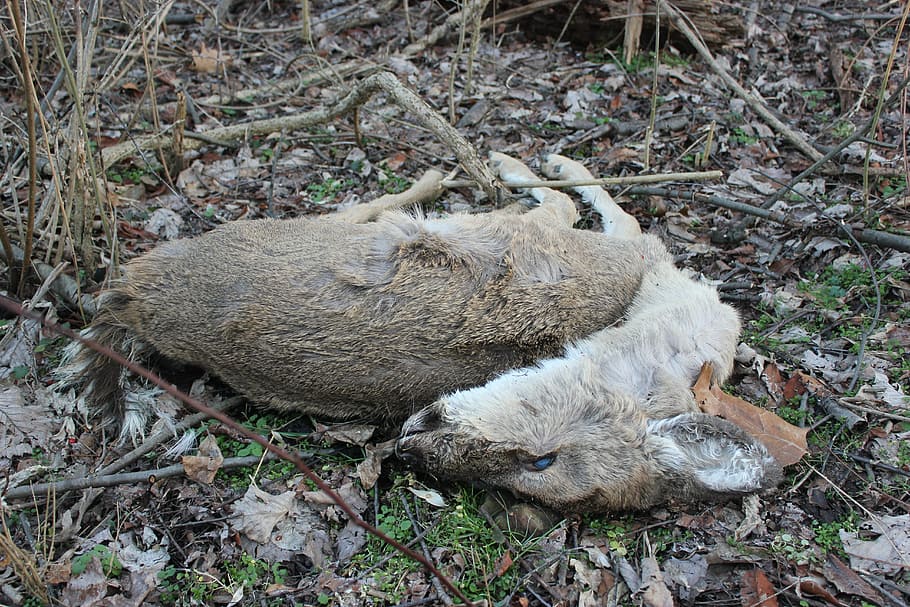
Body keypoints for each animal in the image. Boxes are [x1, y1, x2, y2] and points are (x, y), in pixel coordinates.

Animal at [58, 152, 780, 512]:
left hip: (293, 228)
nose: (414, 445)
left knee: (375, 206)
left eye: (539, 463)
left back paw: (454, 172)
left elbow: (580, 202)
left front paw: (523, 161)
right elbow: (590, 200)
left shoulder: (553, 235)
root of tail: (138, 296)